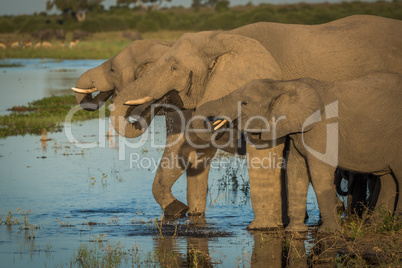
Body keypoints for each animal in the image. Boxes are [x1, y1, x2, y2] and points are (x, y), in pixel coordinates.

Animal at [192, 71, 402, 232]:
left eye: (244, 103)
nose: (216, 124)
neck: (284, 85)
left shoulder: (321, 129)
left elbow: (319, 172)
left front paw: (329, 232)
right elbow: (295, 171)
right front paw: (295, 232)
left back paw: (394, 227)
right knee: (388, 179)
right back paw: (376, 226)